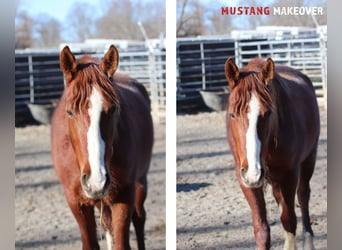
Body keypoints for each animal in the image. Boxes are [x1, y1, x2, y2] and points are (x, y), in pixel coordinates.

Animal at [50, 45, 153, 250]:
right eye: (70, 112)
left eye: (113, 109)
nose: (96, 180)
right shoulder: (76, 202)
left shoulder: (124, 195)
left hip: (140, 182)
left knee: (139, 218)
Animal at [226, 57, 320, 249]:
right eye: (232, 115)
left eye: (268, 112)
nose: (254, 172)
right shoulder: (245, 178)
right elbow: (261, 229)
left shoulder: (289, 174)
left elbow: (289, 220)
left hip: (309, 159)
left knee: (303, 196)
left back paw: (308, 241)